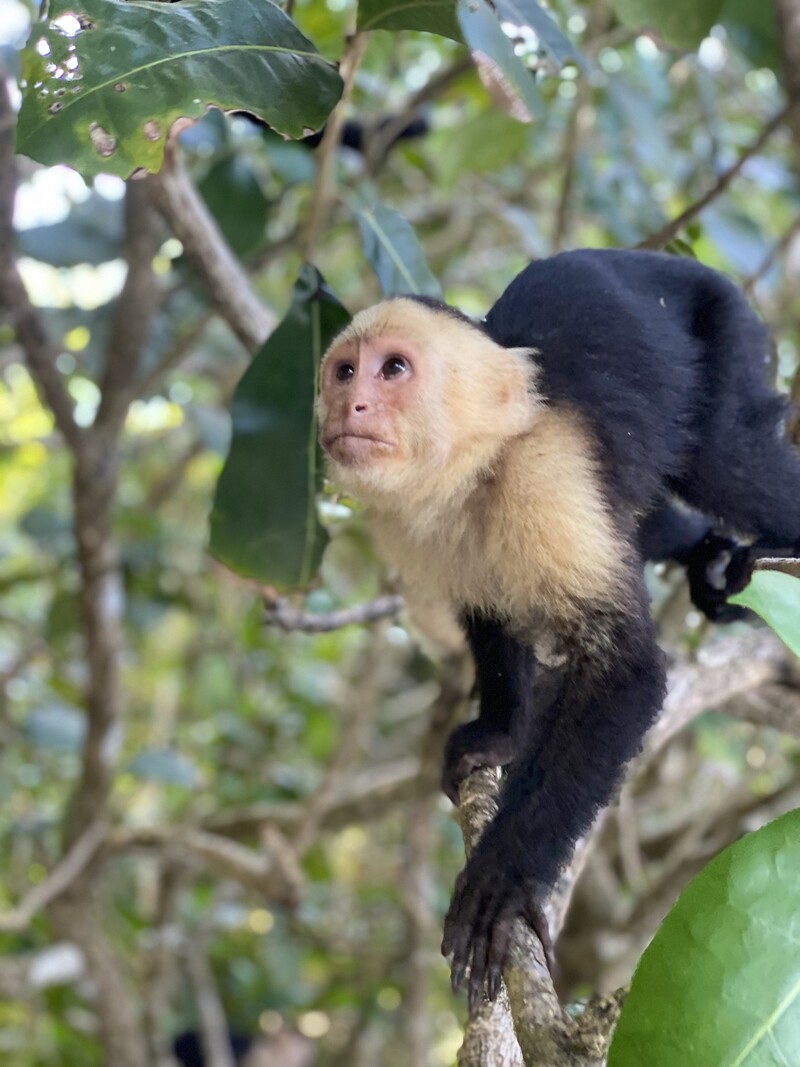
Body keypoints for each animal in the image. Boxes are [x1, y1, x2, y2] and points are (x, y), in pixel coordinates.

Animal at [315, 247, 797, 1007]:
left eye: (392, 369)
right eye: (343, 371)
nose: (350, 405)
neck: (477, 464)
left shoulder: (544, 475)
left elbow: (626, 673)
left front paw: (505, 875)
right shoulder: (417, 523)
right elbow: (487, 614)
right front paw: (500, 733)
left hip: (729, 330)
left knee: (727, 460)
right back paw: (699, 549)